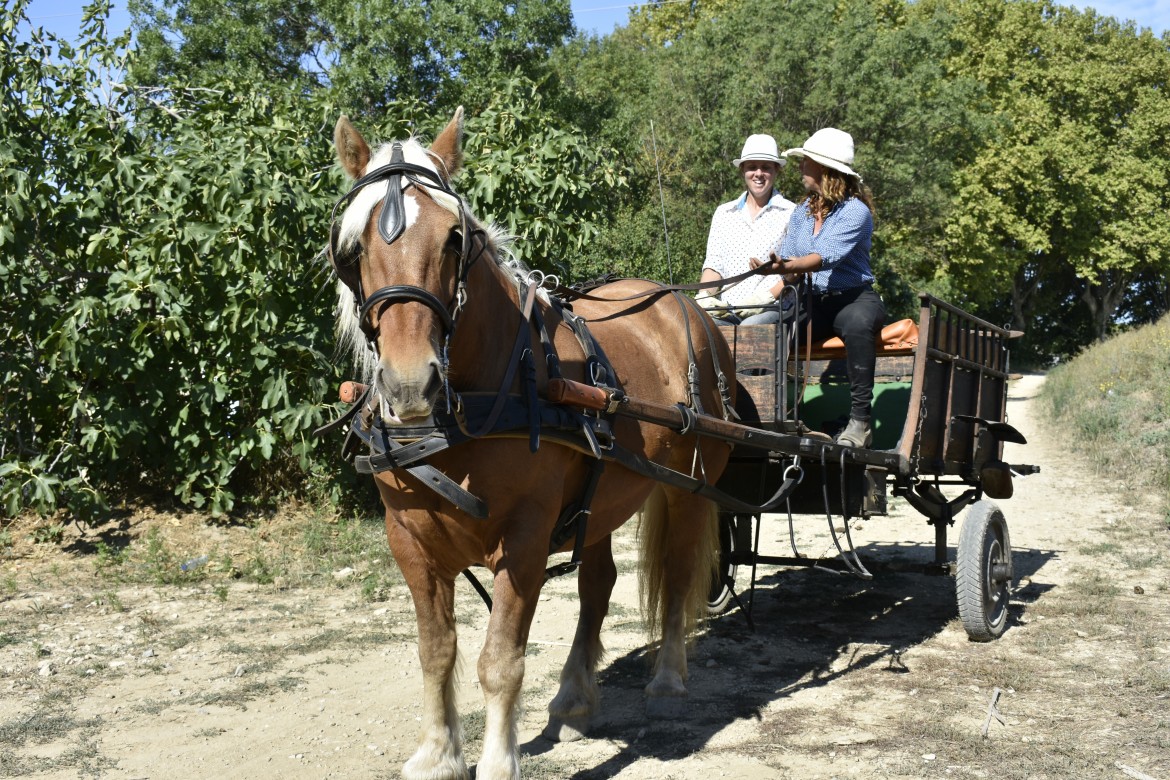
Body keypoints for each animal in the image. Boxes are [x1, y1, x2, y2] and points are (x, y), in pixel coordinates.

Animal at [325, 108, 734, 780]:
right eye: (352, 249)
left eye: (455, 239)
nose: (410, 385)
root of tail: (690, 311)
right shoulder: (407, 539)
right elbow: (436, 650)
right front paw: (438, 753)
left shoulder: (524, 537)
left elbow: (499, 660)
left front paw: (497, 761)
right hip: (602, 495)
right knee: (599, 584)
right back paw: (573, 699)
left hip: (690, 487)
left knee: (676, 575)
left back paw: (668, 680)